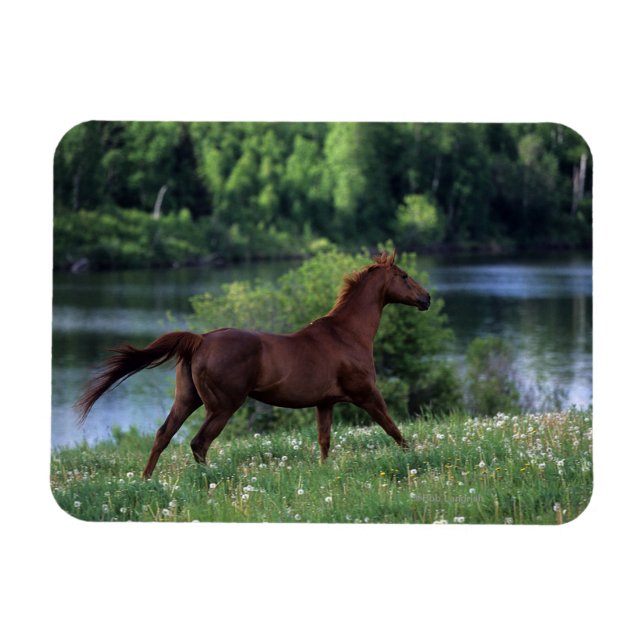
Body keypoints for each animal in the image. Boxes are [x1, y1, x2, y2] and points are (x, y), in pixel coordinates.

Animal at [76, 250, 431, 478]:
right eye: (404, 276)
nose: (426, 298)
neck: (347, 335)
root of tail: (200, 339)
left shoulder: (325, 403)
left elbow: (324, 441)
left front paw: (323, 472)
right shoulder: (367, 394)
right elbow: (394, 429)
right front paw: (415, 460)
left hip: (187, 400)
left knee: (163, 435)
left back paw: (147, 480)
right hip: (222, 406)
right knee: (199, 442)